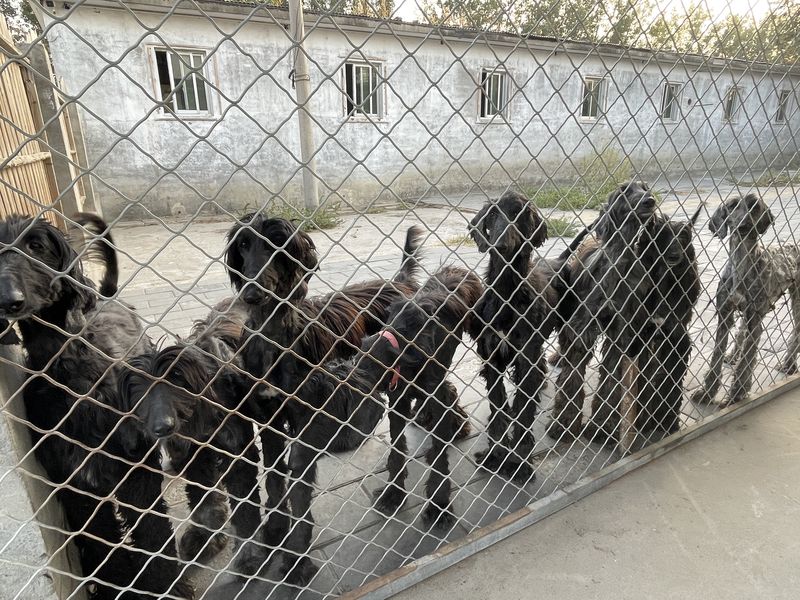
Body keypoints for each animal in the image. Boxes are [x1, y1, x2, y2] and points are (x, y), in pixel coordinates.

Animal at [0, 216, 191, 600]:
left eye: (36, 245)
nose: (9, 300)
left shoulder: (136, 472)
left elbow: (152, 530)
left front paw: (166, 585)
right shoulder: (76, 485)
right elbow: (101, 543)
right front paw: (115, 585)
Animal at [119, 298, 268, 576]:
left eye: (176, 384)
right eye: (141, 396)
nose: (162, 428)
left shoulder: (237, 451)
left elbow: (244, 506)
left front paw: (250, 553)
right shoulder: (195, 454)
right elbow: (203, 500)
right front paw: (205, 537)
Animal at [362, 264, 482, 528]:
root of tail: (455, 267)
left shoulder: (436, 395)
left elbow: (438, 455)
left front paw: (439, 504)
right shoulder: (398, 400)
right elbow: (397, 449)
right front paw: (394, 493)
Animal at [468, 192, 564, 482]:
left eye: (520, 214)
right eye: (492, 214)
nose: (500, 244)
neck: (507, 291)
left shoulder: (525, 354)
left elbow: (523, 406)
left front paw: (519, 461)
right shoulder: (491, 357)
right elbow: (498, 403)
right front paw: (497, 454)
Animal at [688, 195, 800, 406]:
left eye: (755, 206)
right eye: (732, 205)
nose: (744, 224)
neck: (742, 262)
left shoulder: (755, 324)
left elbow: (745, 364)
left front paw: (736, 395)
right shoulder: (724, 316)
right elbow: (716, 357)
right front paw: (707, 392)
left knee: (797, 331)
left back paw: (789, 364)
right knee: (741, 330)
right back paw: (733, 355)